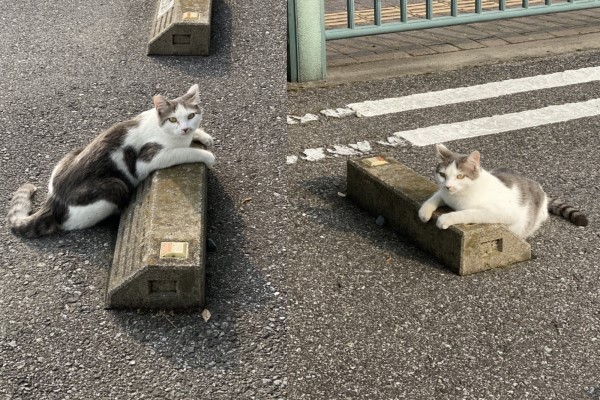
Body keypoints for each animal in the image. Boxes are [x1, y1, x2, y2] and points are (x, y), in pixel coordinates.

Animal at [7, 83, 216, 236]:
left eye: (191, 115)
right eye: (173, 119)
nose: (185, 128)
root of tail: (53, 201)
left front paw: (203, 136)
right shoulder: (148, 159)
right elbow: (183, 152)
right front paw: (207, 156)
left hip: (71, 155)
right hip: (115, 186)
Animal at [418, 144, 584, 238]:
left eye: (460, 176)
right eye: (442, 174)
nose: (448, 186)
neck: (457, 197)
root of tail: (541, 190)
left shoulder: (503, 212)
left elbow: (468, 213)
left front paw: (446, 218)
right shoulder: (443, 193)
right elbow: (435, 196)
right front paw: (424, 212)